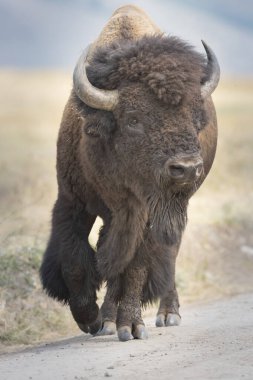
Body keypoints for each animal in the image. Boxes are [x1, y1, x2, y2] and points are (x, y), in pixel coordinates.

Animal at [40, 4, 219, 340]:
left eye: (195, 116)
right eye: (134, 119)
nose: (187, 168)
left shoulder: (148, 213)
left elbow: (135, 266)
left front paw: (131, 326)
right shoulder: (72, 200)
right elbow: (75, 260)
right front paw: (90, 319)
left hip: (175, 208)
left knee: (168, 253)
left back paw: (166, 314)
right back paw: (107, 320)